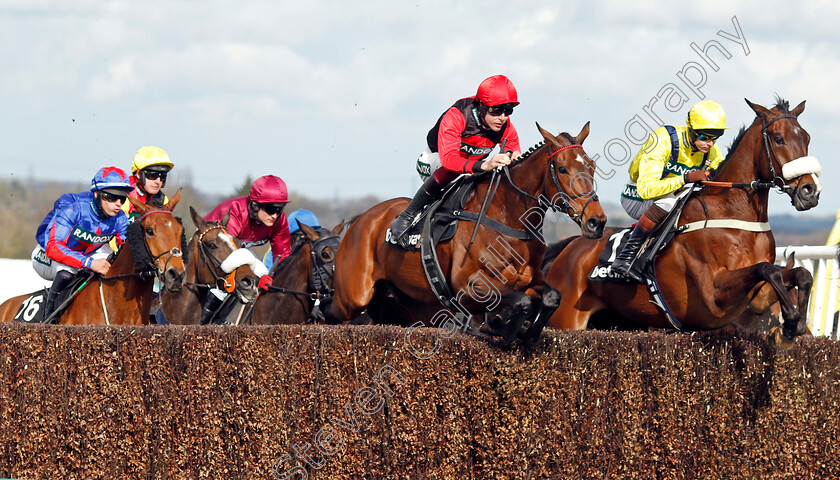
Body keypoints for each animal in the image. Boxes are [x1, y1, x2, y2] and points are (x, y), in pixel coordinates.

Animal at [324, 123, 608, 342]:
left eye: (592, 166)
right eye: (562, 169)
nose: (597, 221)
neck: (508, 219)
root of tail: (362, 218)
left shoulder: (530, 279)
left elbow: (551, 297)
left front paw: (523, 331)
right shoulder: (468, 285)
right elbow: (521, 303)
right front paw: (498, 326)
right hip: (353, 297)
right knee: (332, 314)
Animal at [544, 98, 820, 344]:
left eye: (806, 138)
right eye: (779, 138)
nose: (810, 191)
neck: (733, 212)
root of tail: (571, 246)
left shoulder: (758, 300)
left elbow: (800, 273)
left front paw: (793, 324)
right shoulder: (713, 297)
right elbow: (767, 269)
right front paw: (791, 323)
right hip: (567, 319)